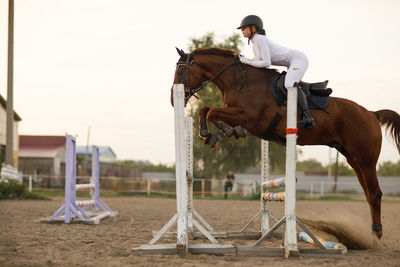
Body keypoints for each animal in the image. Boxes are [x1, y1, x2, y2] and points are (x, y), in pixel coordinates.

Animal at [170, 45, 400, 239]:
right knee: (368, 193)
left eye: (180, 72)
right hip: (352, 158)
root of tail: (372, 114)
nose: (173, 99)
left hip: (365, 160)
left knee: (375, 193)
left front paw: (220, 133)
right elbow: (206, 110)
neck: (239, 82)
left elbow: (211, 112)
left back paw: (377, 233)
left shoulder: (250, 117)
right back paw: (371, 232)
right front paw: (214, 134)